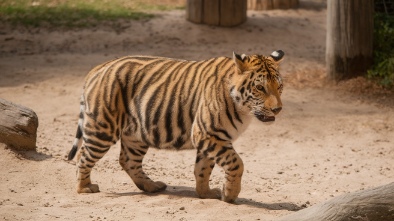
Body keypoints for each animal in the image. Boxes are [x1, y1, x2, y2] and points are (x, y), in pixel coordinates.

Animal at [67, 49, 284, 203]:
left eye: (279, 86)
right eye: (260, 87)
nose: (278, 109)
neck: (244, 109)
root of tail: (99, 67)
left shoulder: (211, 137)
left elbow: (203, 168)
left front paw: (205, 193)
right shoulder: (208, 134)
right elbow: (236, 163)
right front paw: (230, 195)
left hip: (135, 135)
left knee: (128, 160)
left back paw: (152, 186)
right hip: (103, 129)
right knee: (83, 154)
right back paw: (84, 187)